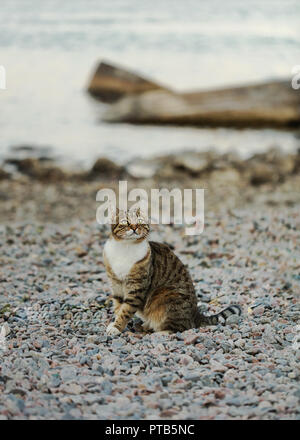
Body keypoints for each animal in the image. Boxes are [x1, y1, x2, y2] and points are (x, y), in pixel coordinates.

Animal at [103, 208, 241, 336]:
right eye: (125, 222)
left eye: (140, 222)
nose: (134, 227)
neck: (126, 247)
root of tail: (195, 314)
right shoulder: (116, 284)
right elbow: (119, 307)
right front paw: (115, 323)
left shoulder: (136, 288)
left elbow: (125, 311)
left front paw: (117, 327)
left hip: (167, 296)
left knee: (180, 327)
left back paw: (158, 332)